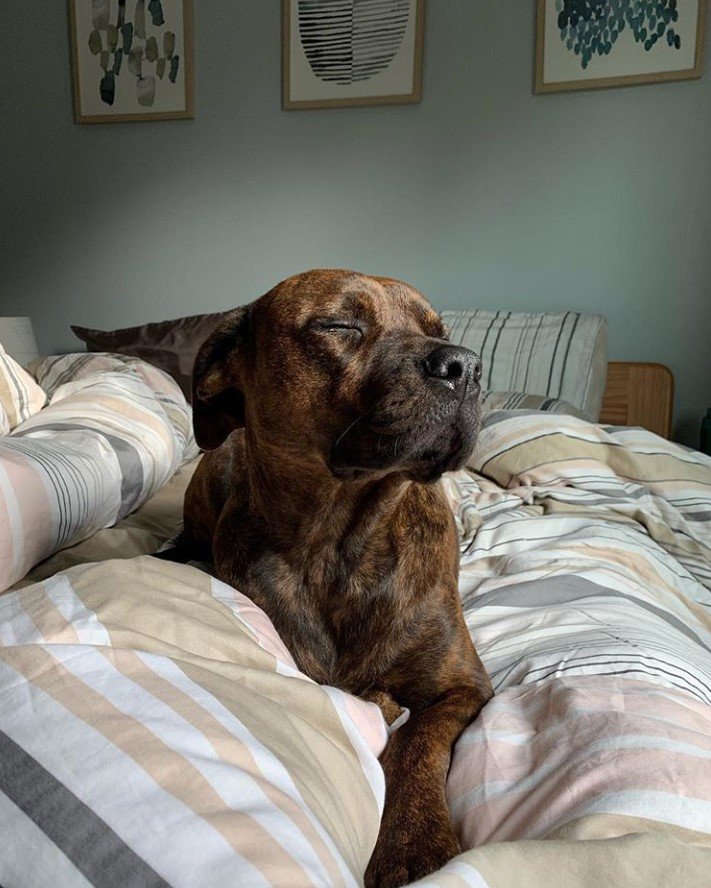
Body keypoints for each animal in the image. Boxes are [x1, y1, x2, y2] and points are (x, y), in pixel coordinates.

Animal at [175, 270, 492, 888]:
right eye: (339, 324)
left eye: (441, 331)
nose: (465, 365)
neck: (340, 543)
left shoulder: (463, 687)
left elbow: (417, 741)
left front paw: (413, 840)